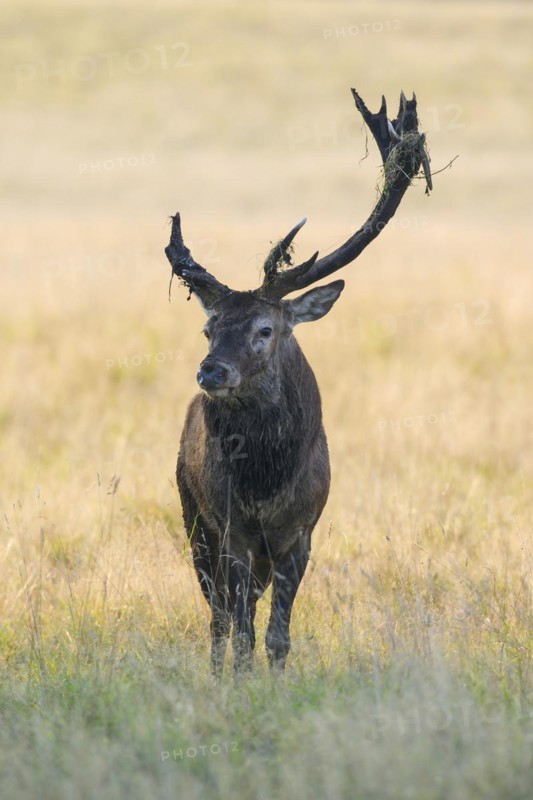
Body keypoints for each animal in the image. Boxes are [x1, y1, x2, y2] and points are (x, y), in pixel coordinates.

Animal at [165, 89, 431, 677]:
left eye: (265, 329)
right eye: (208, 328)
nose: (210, 370)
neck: (267, 483)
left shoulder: (302, 532)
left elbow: (279, 635)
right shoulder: (232, 531)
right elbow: (242, 631)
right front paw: (240, 684)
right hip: (192, 519)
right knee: (217, 617)